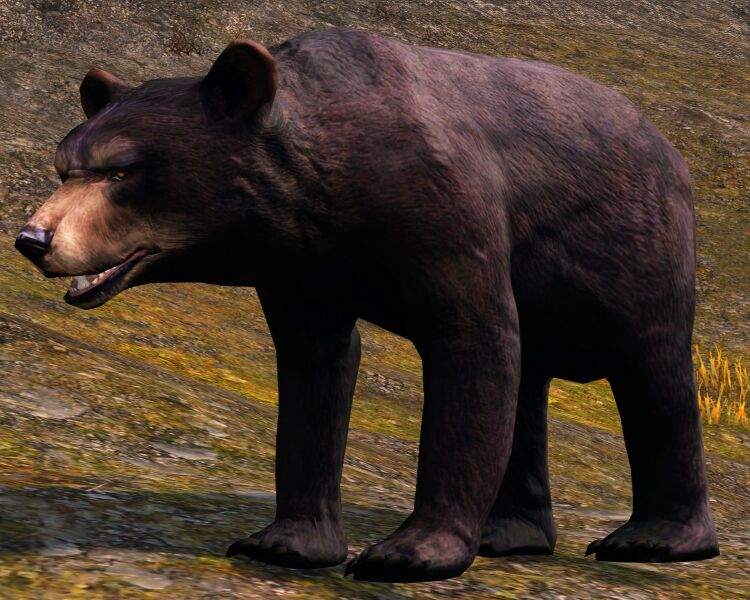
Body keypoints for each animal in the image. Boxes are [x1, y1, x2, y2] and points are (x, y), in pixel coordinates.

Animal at [14, 27, 719, 583]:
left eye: (121, 171)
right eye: (65, 167)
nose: (33, 238)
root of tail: (668, 146)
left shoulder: (444, 208)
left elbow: (471, 344)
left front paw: (408, 553)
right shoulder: (301, 266)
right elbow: (315, 368)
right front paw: (284, 543)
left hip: (637, 248)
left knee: (654, 374)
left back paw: (655, 539)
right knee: (530, 381)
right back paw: (510, 534)